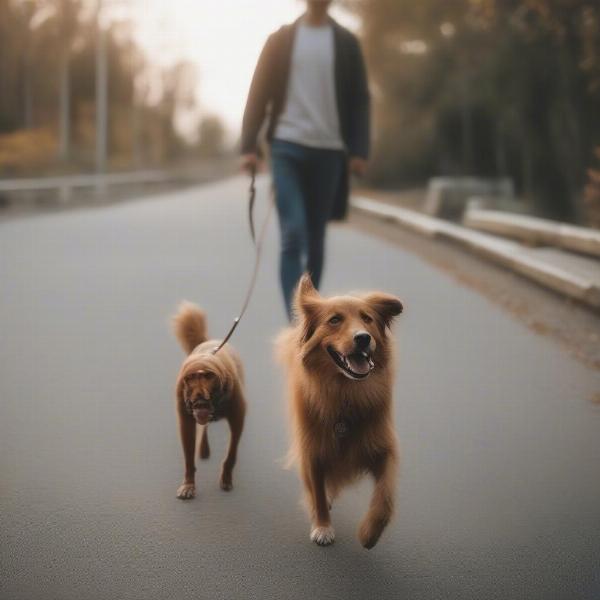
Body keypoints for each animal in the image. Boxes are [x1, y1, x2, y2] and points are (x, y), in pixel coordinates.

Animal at [171, 302, 246, 500]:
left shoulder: (238, 416)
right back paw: (204, 449)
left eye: (209, 382)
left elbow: (231, 453)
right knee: (203, 429)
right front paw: (188, 486)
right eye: (189, 385)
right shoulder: (185, 420)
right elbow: (188, 457)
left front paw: (226, 479)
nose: (199, 403)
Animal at [276, 276, 404, 548]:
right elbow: (318, 491)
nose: (363, 338)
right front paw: (322, 526)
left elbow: (386, 496)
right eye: (334, 320)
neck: (346, 392)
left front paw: (369, 533)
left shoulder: (383, 446)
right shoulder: (312, 449)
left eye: (367, 318)